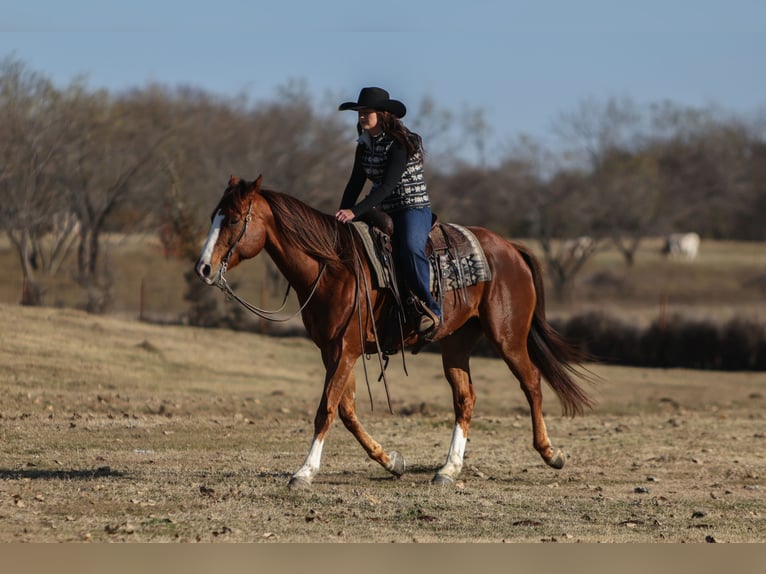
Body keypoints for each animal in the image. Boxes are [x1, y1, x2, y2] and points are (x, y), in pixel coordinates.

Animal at [195, 175, 593, 488]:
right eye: (213, 216)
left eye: (233, 219)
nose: (204, 268)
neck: (334, 265)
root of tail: (511, 248)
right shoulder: (333, 351)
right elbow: (347, 411)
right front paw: (391, 461)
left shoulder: (345, 349)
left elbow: (326, 408)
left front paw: (304, 473)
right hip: (456, 343)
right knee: (465, 398)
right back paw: (448, 469)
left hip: (508, 339)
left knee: (532, 382)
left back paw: (551, 453)